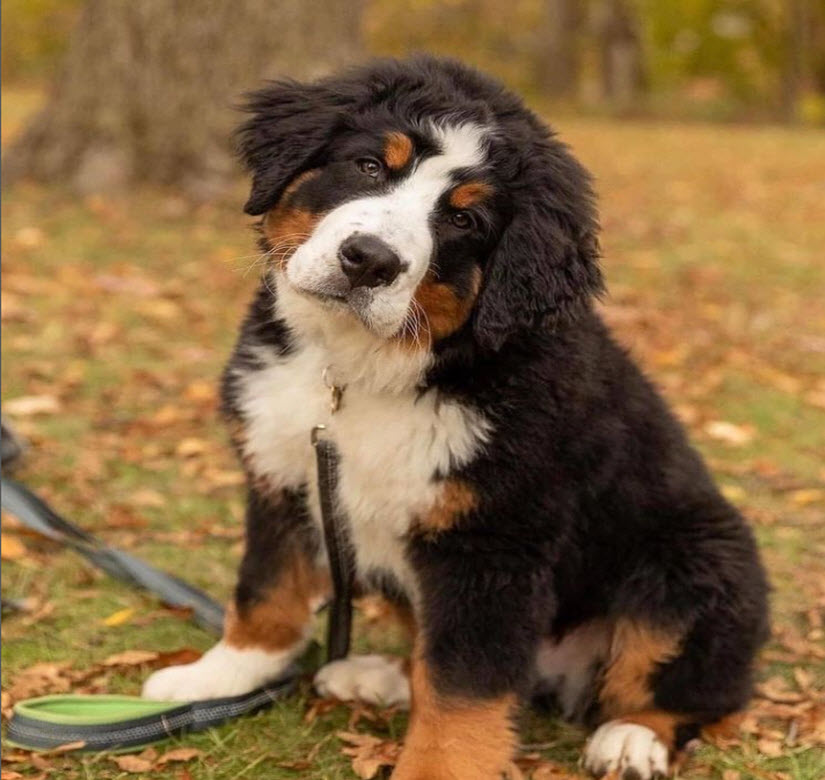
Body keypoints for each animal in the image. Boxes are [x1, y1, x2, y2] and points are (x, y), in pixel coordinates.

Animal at [142, 58, 768, 776]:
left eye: (465, 220)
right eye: (368, 166)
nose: (370, 260)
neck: (359, 370)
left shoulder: (492, 544)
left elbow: (463, 685)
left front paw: (435, 765)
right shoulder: (286, 478)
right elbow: (267, 590)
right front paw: (217, 676)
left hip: (695, 561)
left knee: (694, 687)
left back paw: (631, 737)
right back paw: (376, 675)